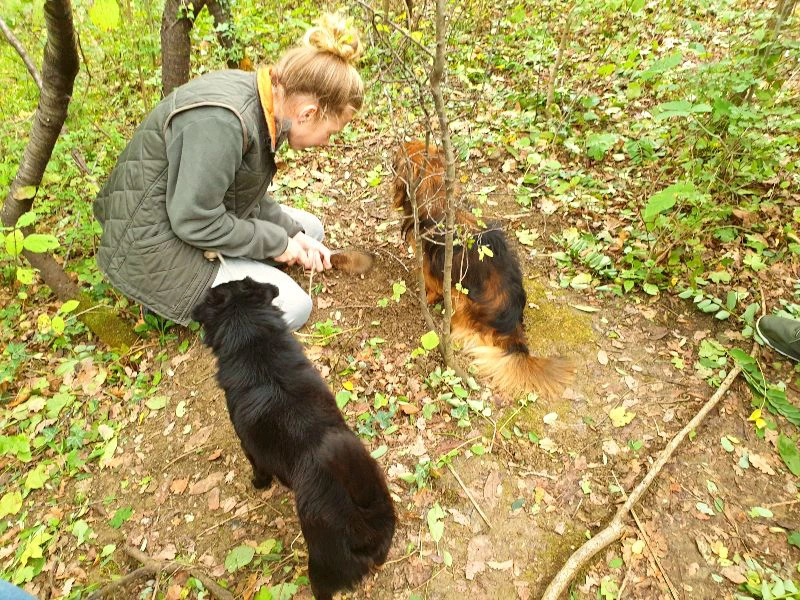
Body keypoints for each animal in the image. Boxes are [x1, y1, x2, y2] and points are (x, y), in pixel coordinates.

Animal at [192, 278, 396, 600]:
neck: (255, 345)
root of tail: (367, 521)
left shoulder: (250, 447)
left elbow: (259, 469)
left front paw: (259, 484)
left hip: (320, 568)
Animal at [392, 140, 575, 398]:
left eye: (403, 152)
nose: (393, 149)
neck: (438, 195)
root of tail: (513, 331)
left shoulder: (430, 269)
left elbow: (431, 289)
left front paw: (424, 301)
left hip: (462, 298)